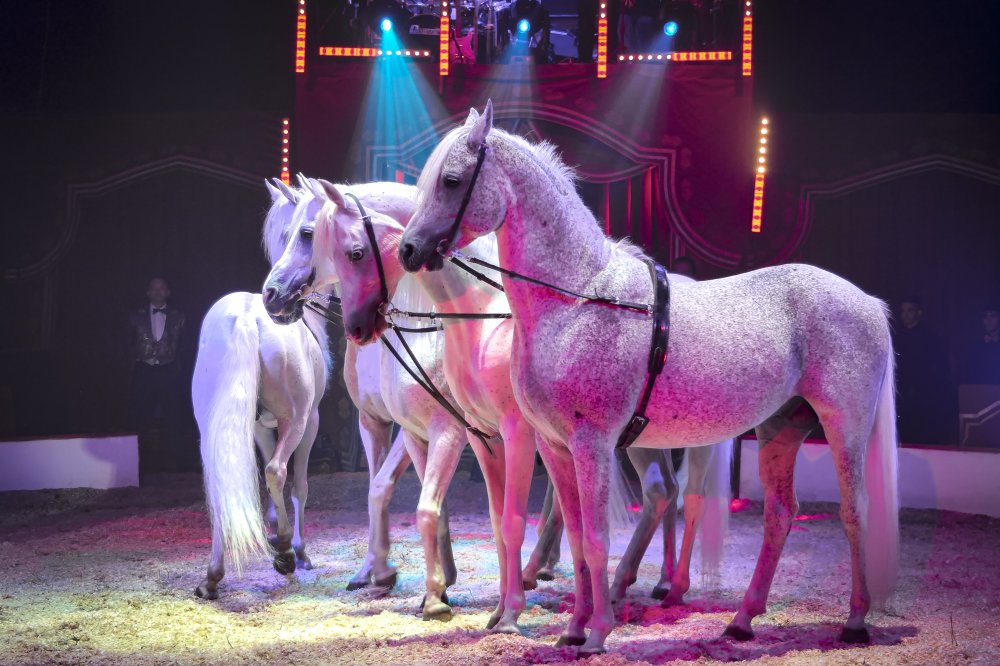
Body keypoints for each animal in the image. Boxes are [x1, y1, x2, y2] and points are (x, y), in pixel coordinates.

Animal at [397, 101, 899, 655]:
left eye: (451, 180)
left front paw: (597, 631)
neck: (577, 294)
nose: (408, 250)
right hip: (779, 429)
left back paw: (855, 620)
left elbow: (597, 539)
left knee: (854, 511)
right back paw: (742, 620)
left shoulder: (592, 442)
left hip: (843, 424)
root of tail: (867, 302)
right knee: (779, 515)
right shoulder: (555, 446)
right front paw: (573, 629)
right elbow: (576, 537)